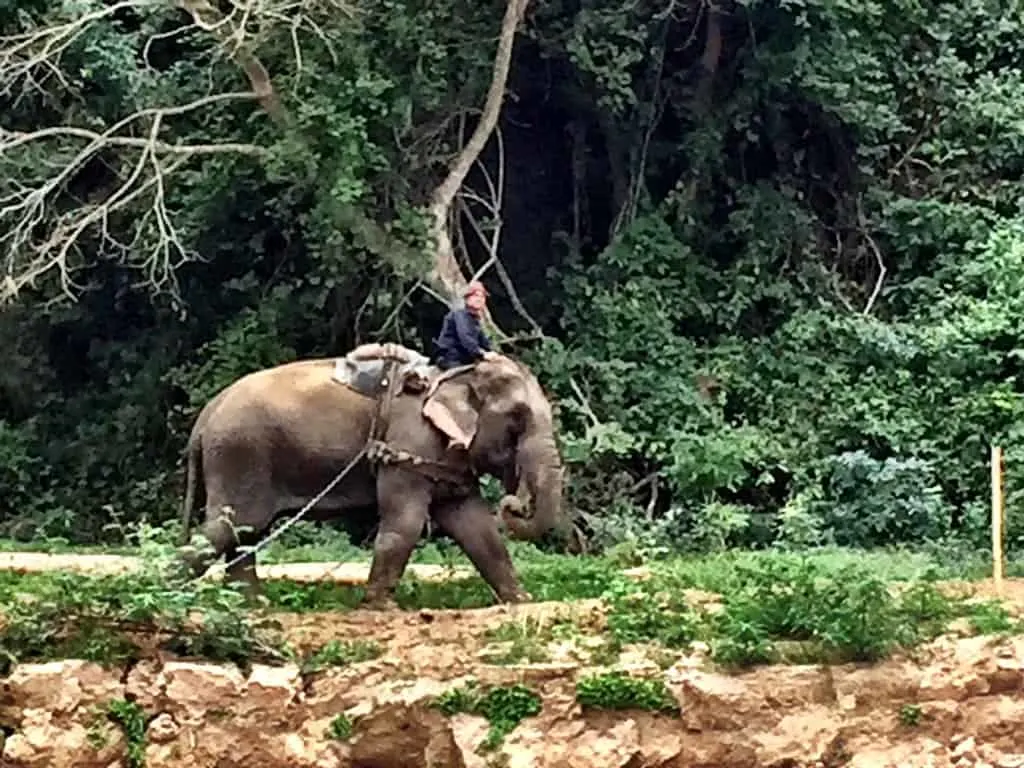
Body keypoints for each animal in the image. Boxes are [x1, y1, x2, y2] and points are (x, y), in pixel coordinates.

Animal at [172, 346, 565, 610]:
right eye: (517, 419)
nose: (514, 502)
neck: (456, 375)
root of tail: (205, 416)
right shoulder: (408, 442)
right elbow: (405, 520)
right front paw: (383, 607)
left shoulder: (443, 458)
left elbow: (475, 527)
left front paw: (522, 600)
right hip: (240, 456)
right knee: (233, 528)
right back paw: (170, 588)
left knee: (244, 535)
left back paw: (251, 606)